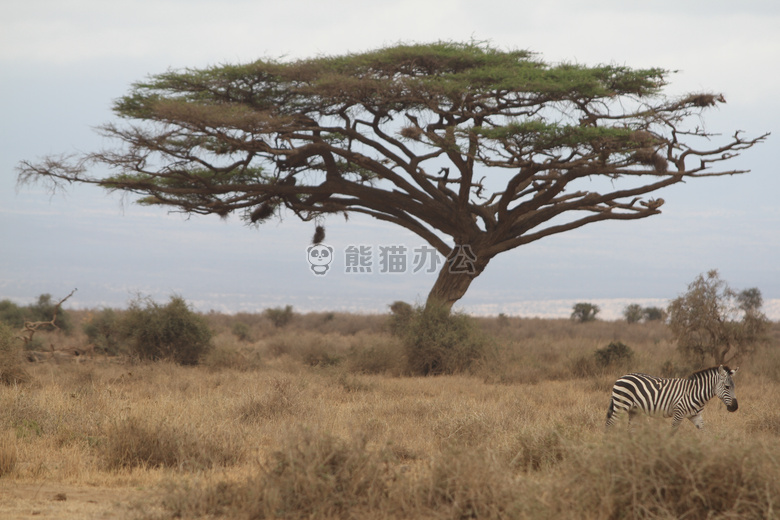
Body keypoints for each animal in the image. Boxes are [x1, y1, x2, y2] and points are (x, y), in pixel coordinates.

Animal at [608, 364, 740, 432]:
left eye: (734, 387)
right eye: (727, 387)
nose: (735, 407)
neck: (695, 393)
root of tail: (622, 377)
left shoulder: (695, 416)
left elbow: (705, 432)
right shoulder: (678, 413)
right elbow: (672, 433)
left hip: (633, 410)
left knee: (630, 429)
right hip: (620, 406)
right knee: (610, 425)